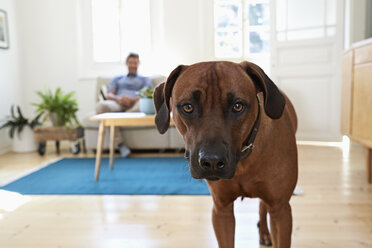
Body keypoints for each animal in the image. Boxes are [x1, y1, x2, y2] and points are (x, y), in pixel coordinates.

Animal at [153, 60, 298, 248]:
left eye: (238, 106)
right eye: (188, 107)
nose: (211, 162)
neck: (244, 161)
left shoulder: (281, 210)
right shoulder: (221, 210)